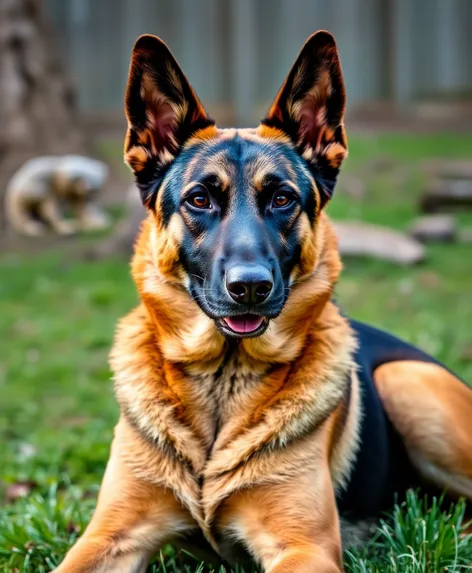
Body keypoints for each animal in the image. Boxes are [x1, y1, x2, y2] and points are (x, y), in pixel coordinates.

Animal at [55, 32, 472, 572]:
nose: (250, 286)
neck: (221, 382)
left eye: (282, 199)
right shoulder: (110, 536)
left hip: (407, 383)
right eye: (199, 199)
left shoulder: (304, 547)